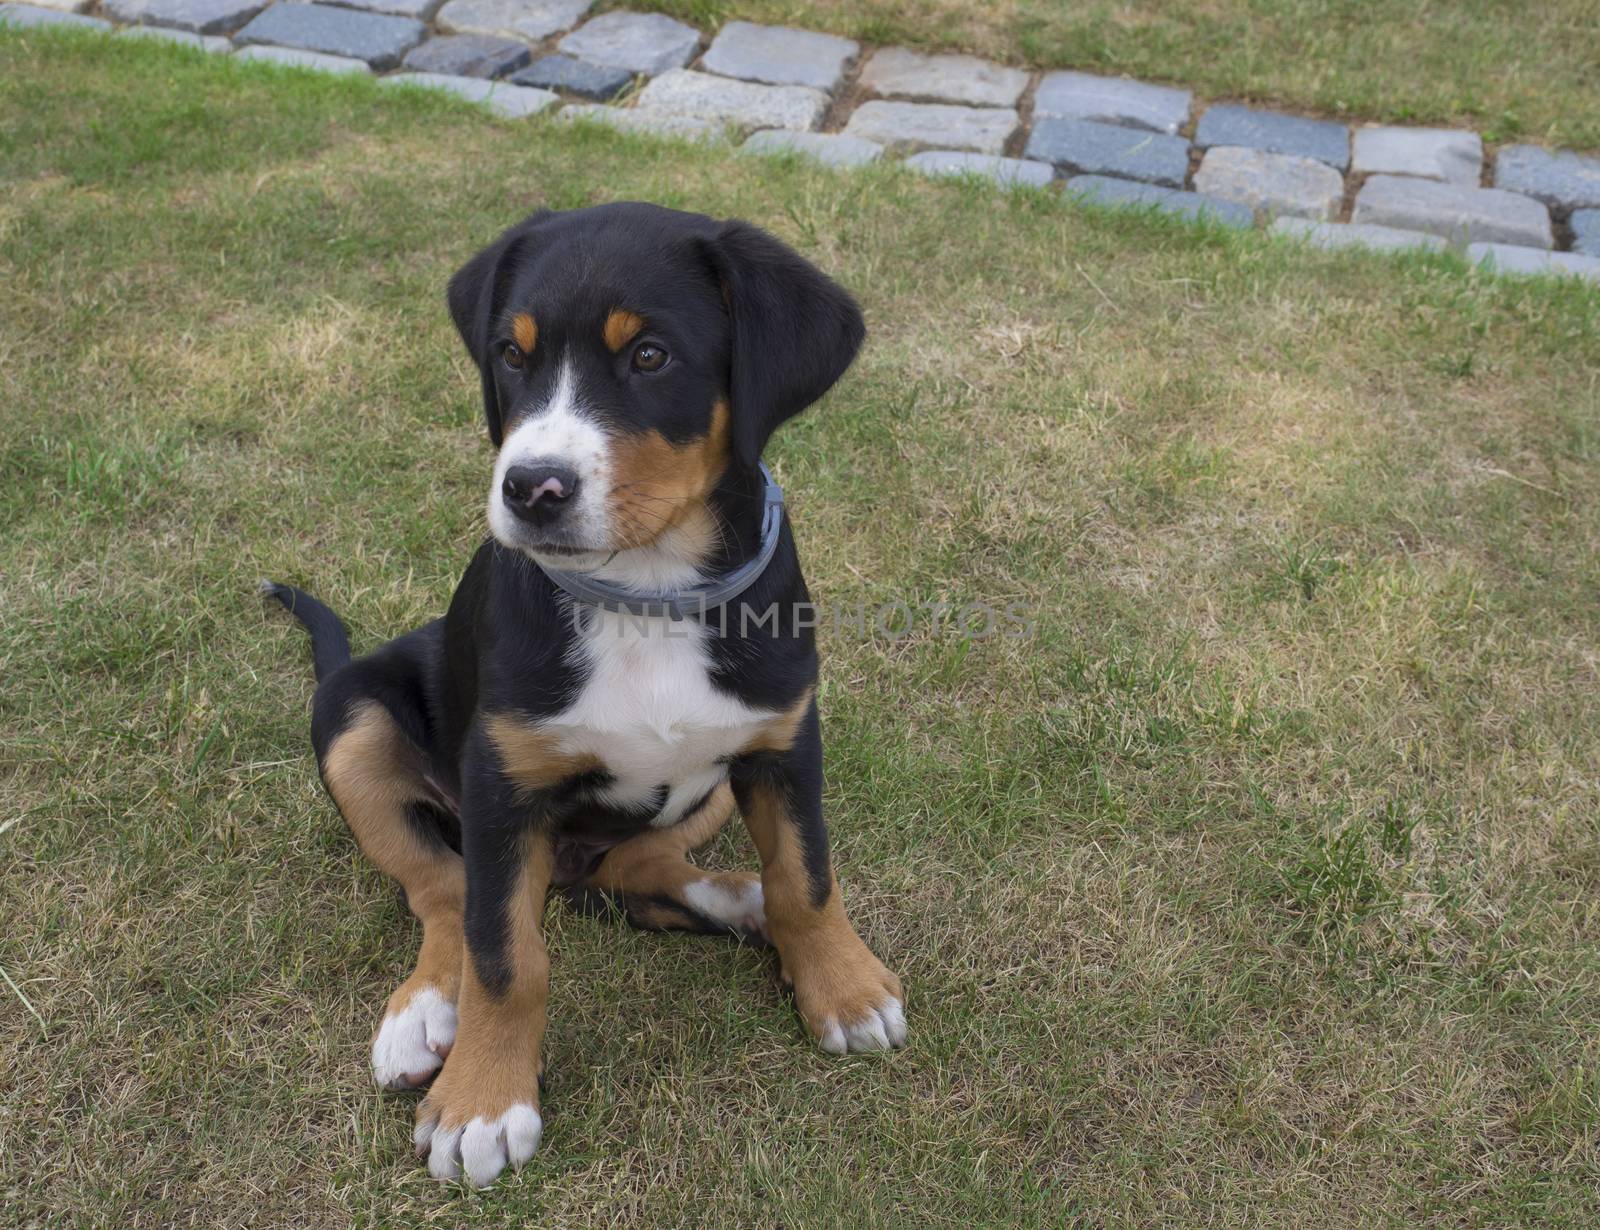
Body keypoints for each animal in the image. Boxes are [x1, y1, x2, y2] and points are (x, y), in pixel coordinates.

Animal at [268, 203, 908, 1190]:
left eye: (650, 355)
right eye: (511, 353)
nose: (532, 488)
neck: (643, 591)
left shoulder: (782, 742)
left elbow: (807, 876)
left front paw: (842, 987)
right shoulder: (503, 786)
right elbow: (503, 954)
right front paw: (484, 1101)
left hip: (708, 786)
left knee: (635, 868)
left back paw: (739, 902)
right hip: (352, 717)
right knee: (444, 887)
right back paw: (423, 1015)